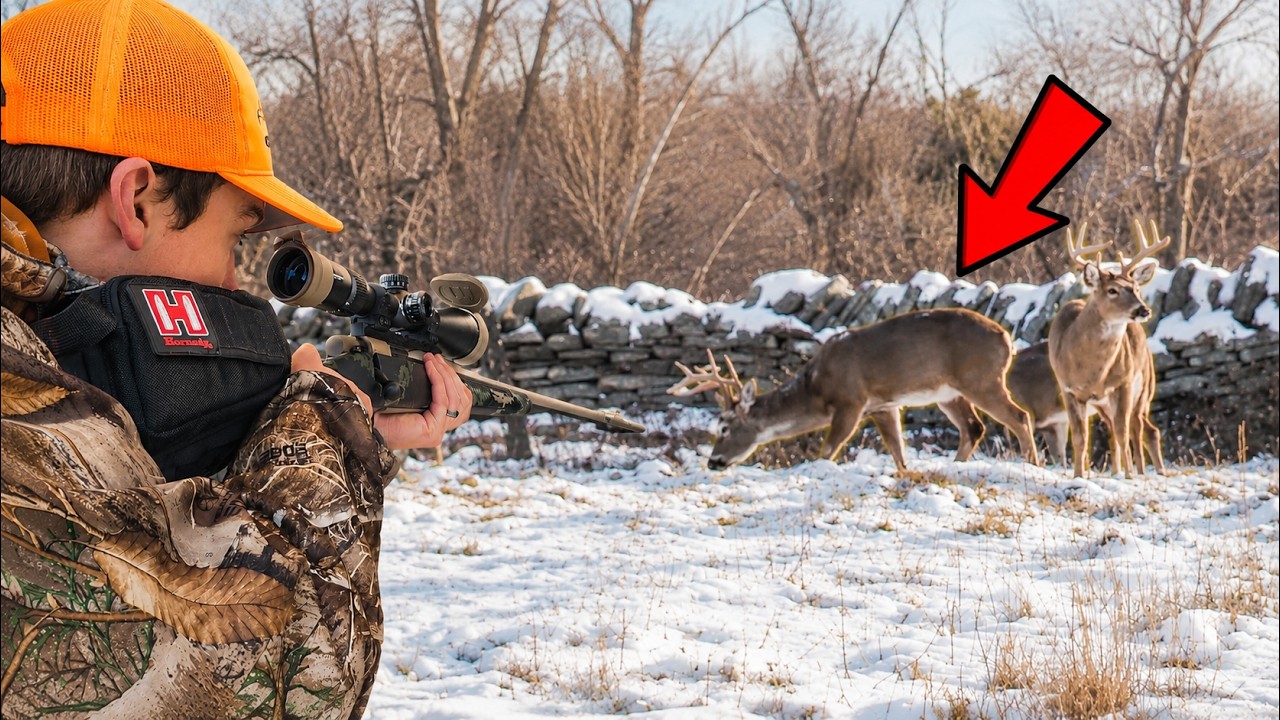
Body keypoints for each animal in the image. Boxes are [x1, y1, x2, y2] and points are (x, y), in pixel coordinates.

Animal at [667, 308, 1039, 473]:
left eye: (724, 427)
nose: (714, 461)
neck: (815, 388)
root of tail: (1006, 338)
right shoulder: (883, 405)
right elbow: (897, 450)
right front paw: (906, 473)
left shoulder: (852, 401)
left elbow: (827, 450)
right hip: (949, 392)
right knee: (973, 428)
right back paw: (955, 466)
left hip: (981, 379)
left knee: (1020, 416)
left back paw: (1031, 465)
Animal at [1048, 219, 1167, 479]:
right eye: (1112, 290)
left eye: (1136, 288)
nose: (1143, 310)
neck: (1092, 372)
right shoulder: (1068, 389)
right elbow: (1081, 438)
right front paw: (1078, 476)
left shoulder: (1122, 384)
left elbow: (1123, 433)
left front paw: (1130, 475)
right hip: (1103, 404)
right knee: (1118, 430)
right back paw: (1116, 472)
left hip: (1144, 386)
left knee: (1142, 428)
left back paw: (1148, 471)